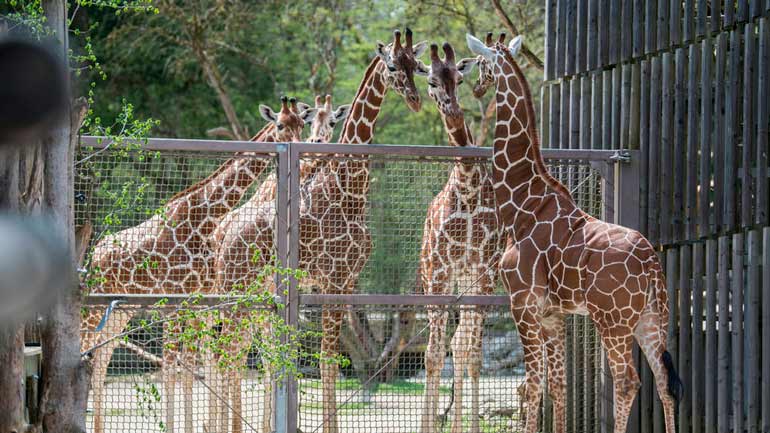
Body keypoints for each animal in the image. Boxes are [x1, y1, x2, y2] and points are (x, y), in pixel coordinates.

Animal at [79, 96, 314, 432]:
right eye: (281, 125)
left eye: (301, 124)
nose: (299, 148)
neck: (204, 218)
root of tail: (95, 252)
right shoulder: (175, 302)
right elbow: (175, 368)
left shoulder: (195, 301)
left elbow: (192, 366)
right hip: (95, 307)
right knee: (83, 351)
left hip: (120, 311)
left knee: (99, 360)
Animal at [464, 33, 680, 432]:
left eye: (480, 61)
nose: (472, 82)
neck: (521, 203)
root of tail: (651, 265)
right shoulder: (553, 312)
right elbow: (557, 386)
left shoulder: (523, 302)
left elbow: (531, 386)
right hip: (651, 317)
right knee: (664, 383)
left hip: (613, 319)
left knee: (628, 381)